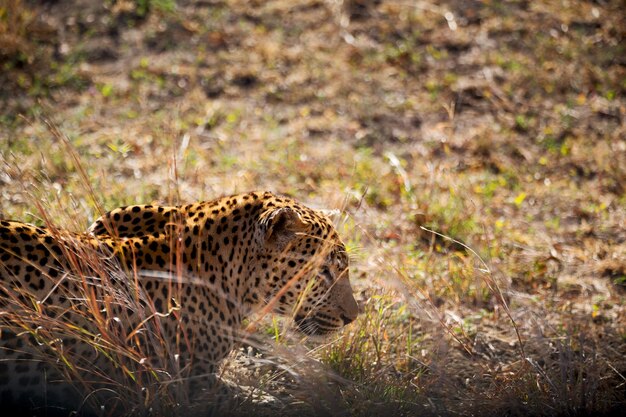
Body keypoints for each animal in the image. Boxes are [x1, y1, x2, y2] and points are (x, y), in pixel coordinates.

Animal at [0, 191, 356, 412]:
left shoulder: (113, 219)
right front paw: (289, 401)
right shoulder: (183, 383)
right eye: (324, 272)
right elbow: (245, 397)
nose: (353, 316)